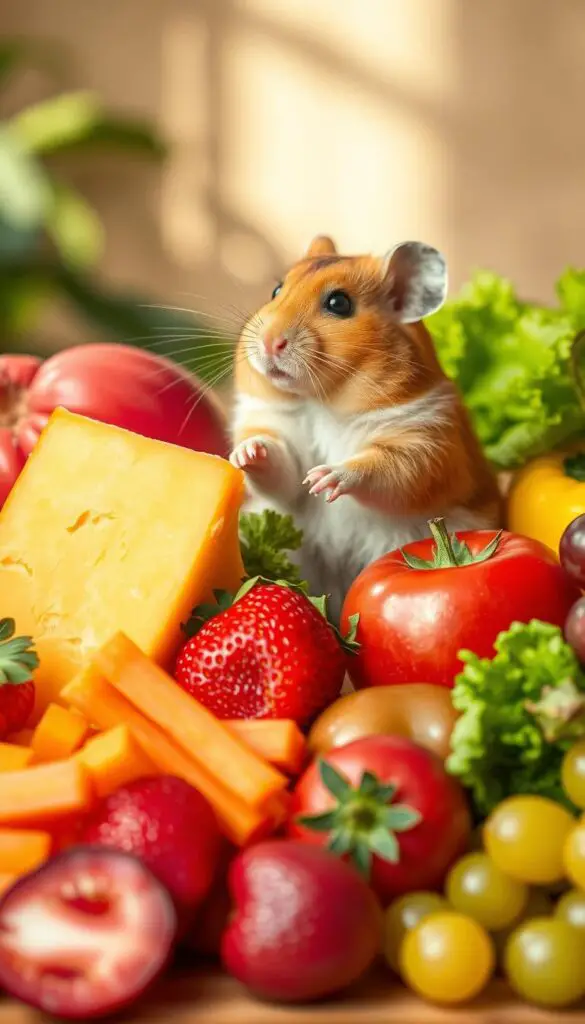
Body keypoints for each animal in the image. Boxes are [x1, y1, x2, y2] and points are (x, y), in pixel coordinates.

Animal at [230, 235, 502, 619]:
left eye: (339, 304)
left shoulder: (425, 445)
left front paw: (323, 479)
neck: (321, 403)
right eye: (276, 289)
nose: (269, 342)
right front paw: (244, 454)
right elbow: (281, 470)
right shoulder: (277, 429)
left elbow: (379, 468)